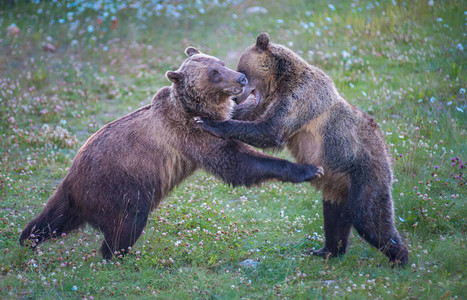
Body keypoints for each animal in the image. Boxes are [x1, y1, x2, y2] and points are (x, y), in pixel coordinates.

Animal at [19, 47, 326, 260]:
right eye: (214, 73)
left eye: (221, 63)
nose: (240, 78)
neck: (196, 109)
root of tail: (74, 176)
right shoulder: (189, 136)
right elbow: (236, 163)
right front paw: (307, 169)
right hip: (121, 187)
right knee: (126, 225)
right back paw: (118, 256)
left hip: (72, 198)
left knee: (50, 220)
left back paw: (26, 239)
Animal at [199, 32, 412, 266]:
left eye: (242, 73)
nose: (236, 97)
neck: (281, 81)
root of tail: (386, 150)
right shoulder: (268, 103)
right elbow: (253, 118)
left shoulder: (301, 97)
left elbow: (271, 130)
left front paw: (212, 124)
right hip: (337, 182)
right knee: (334, 215)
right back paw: (326, 250)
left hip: (365, 171)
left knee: (369, 216)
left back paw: (399, 258)